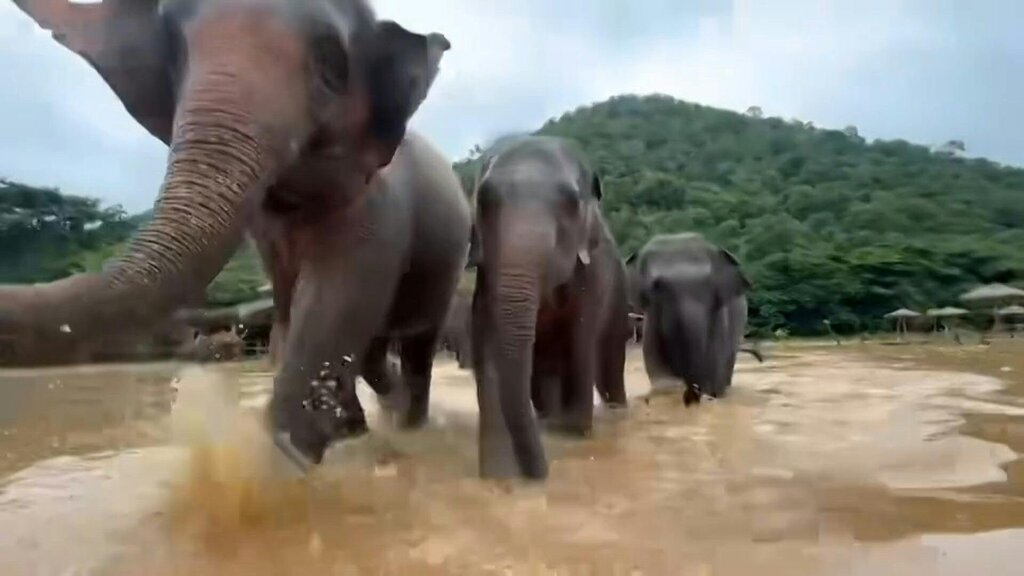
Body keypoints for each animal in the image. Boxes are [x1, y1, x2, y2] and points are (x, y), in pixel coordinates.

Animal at [1, 0, 469, 469]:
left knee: (417, 345)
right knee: (373, 350)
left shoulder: (377, 210)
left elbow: (331, 305)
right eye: (174, 48)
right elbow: (293, 304)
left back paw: (409, 425)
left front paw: (276, 469)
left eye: (330, 66)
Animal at [467, 135, 629, 480]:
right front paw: (498, 475)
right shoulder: (486, 277)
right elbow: (485, 342)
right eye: (484, 200)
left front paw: (572, 432)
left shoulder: (593, 275)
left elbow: (581, 337)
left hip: (620, 297)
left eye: (571, 202)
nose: (543, 472)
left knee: (609, 362)